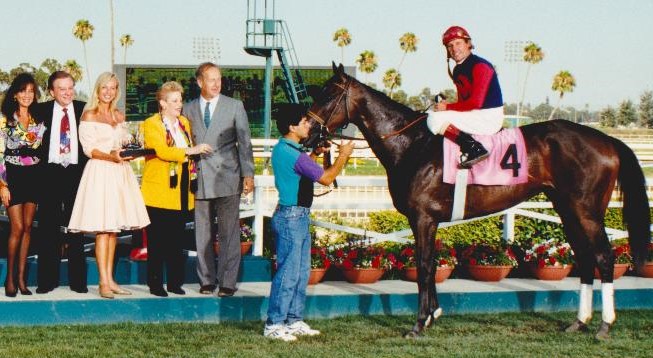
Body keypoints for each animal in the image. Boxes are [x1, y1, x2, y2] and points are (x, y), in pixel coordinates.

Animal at [308, 63, 648, 338]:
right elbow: (431, 263)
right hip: (567, 208)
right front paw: (433, 315)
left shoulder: (423, 218)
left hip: (586, 210)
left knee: (604, 257)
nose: (309, 131)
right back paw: (579, 321)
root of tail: (607, 140)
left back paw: (605, 324)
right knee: (586, 258)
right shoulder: (427, 221)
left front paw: (419, 323)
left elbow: (423, 265)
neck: (411, 144)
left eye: (328, 95)